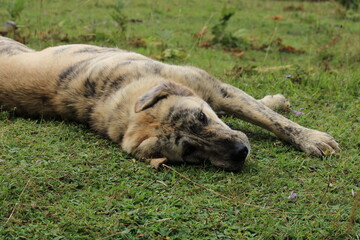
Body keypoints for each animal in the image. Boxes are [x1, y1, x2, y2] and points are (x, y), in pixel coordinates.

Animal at [0, 37, 338, 171]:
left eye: (201, 118)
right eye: (189, 152)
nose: (240, 152)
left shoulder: (218, 91)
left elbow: (273, 119)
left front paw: (311, 138)